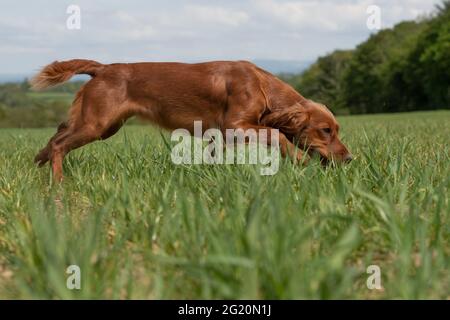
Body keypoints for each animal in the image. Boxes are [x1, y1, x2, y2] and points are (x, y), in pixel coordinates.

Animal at [30, 59, 352, 181]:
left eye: (337, 130)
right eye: (326, 130)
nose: (349, 159)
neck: (262, 85)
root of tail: (103, 68)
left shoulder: (220, 135)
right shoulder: (234, 125)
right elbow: (279, 134)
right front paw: (299, 160)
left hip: (103, 124)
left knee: (58, 132)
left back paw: (38, 160)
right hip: (96, 124)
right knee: (60, 144)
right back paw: (57, 181)